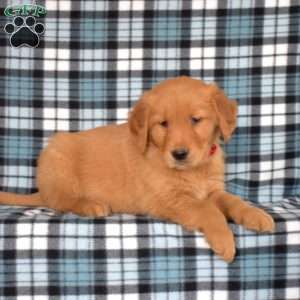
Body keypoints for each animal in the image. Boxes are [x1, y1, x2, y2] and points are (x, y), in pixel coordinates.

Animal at [0, 77, 274, 262]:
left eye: (195, 120)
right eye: (163, 124)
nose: (179, 154)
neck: (192, 170)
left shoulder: (212, 190)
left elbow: (232, 200)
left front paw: (255, 215)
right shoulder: (170, 199)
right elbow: (209, 211)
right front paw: (224, 240)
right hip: (59, 157)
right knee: (59, 200)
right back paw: (90, 204)